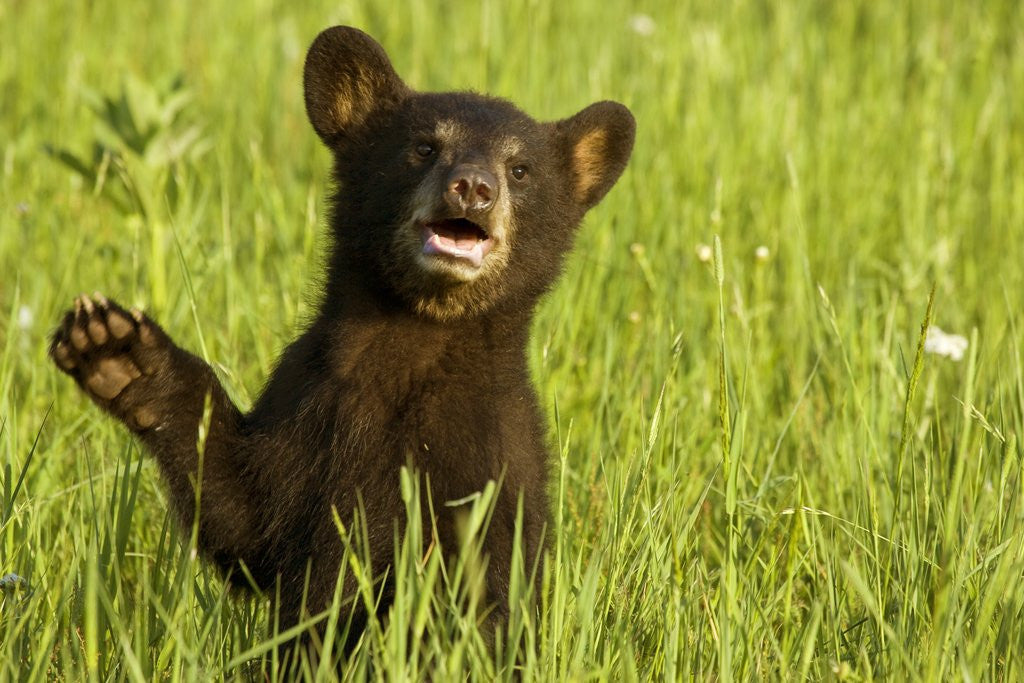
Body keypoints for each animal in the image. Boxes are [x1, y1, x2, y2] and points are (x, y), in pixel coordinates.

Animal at [49, 26, 634, 654]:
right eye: (424, 147)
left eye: (521, 169)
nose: (473, 187)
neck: (411, 342)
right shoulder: (306, 411)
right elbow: (245, 519)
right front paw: (118, 351)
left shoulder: (493, 459)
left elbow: (467, 596)